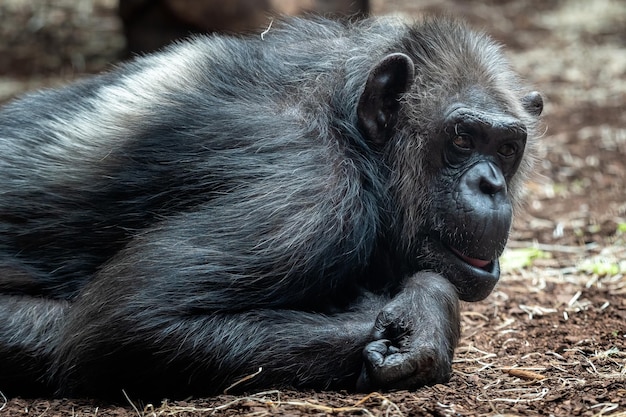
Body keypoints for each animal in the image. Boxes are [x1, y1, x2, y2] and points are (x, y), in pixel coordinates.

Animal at [0, 17, 540, 400]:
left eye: (506, 148)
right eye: (461, 139)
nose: (490, 184)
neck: (355, 139)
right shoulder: (310, 195)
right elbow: (130, 321)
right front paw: (426, 313)